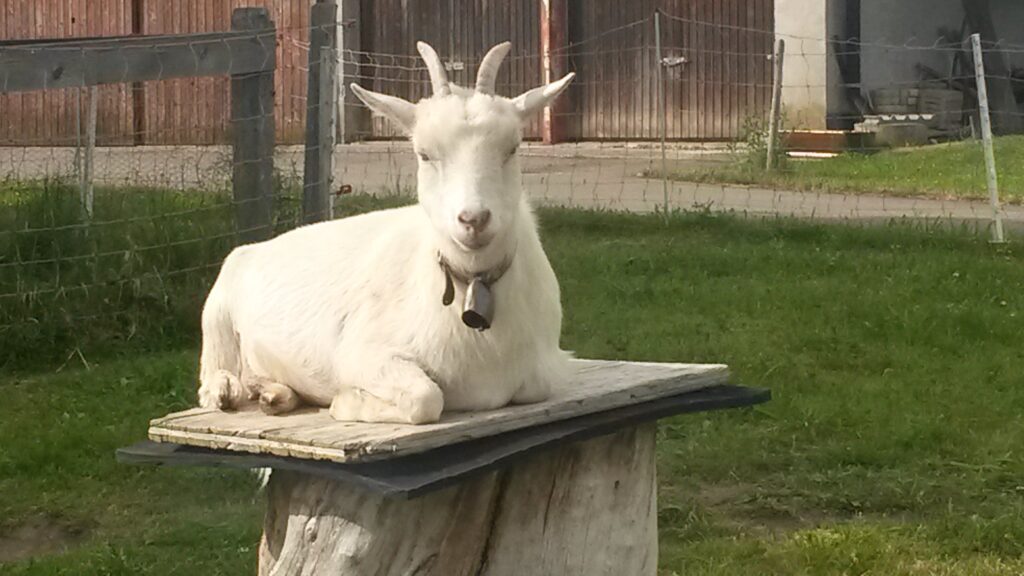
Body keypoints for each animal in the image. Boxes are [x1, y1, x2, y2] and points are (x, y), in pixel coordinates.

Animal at [196, 42, 575, 424]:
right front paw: (345, 401)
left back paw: (273, 393)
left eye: (511, 148)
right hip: (217, 313)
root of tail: (255, 248)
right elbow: (426, 398)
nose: (473, 219)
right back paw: (227, 390)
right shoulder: (362, 353)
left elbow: (536, 386)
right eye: (424, 154)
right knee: (213, 373)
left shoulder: (545, 369)